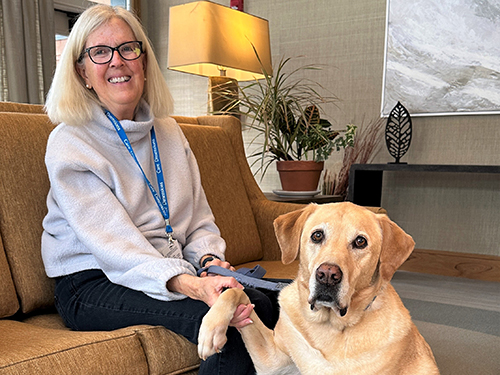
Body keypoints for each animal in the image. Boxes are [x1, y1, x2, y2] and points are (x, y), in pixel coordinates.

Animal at [199, 204, 438, 374]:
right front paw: (210, 330)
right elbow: (236, 291)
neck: (330, 324)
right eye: (317, 235)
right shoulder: (274, 361)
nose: (328, 276)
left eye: (360, 241)